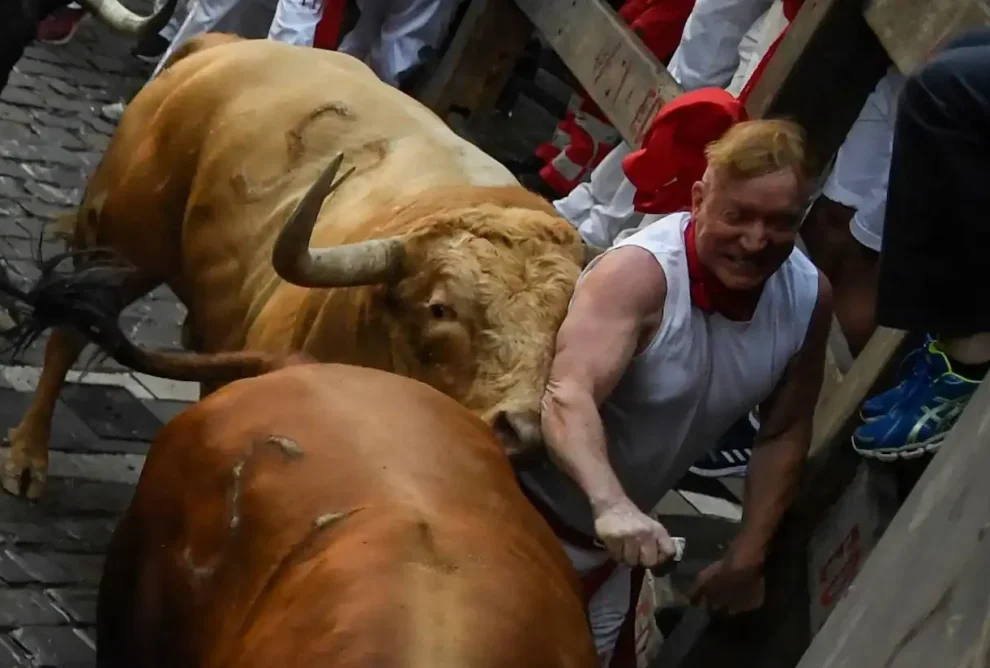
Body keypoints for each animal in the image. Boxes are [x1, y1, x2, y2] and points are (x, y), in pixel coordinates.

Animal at [3, 34, 600, 498]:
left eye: (560, 328)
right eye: (440, 309)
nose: (521, 432)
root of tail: (222, 48)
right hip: (122, 243)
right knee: (69, 332)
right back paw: (27, 458)